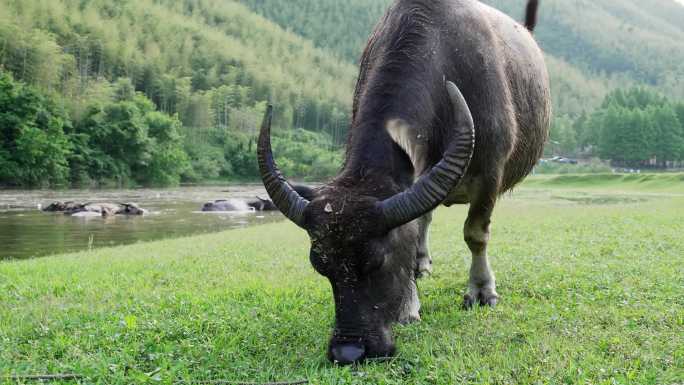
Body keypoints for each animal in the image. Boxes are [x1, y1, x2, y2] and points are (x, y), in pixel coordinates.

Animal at [256, 0, 552, 364]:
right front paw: (410, 303)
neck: (444, 50)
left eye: (378, 261)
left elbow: (475, 234)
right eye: (320, 266)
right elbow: (416, 228)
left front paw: (482, 291)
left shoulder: (490, 174)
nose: (348, 351)